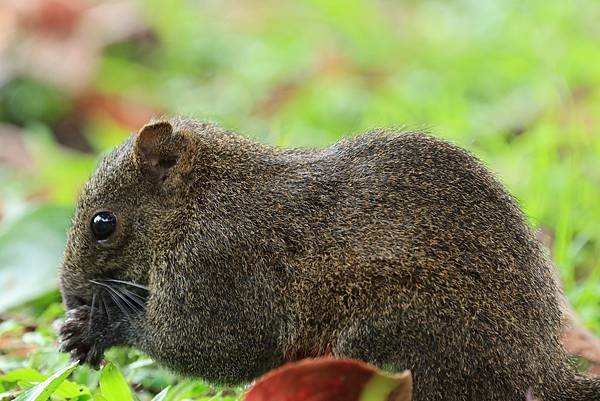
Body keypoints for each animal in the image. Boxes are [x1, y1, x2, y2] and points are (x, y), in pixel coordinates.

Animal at [57, 116, 600, 400]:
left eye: (102, 223)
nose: (67, 293)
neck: (202, 198)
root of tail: (537, 373)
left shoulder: (218, 262)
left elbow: (208, 343)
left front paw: (96, 328)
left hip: (394, 336)